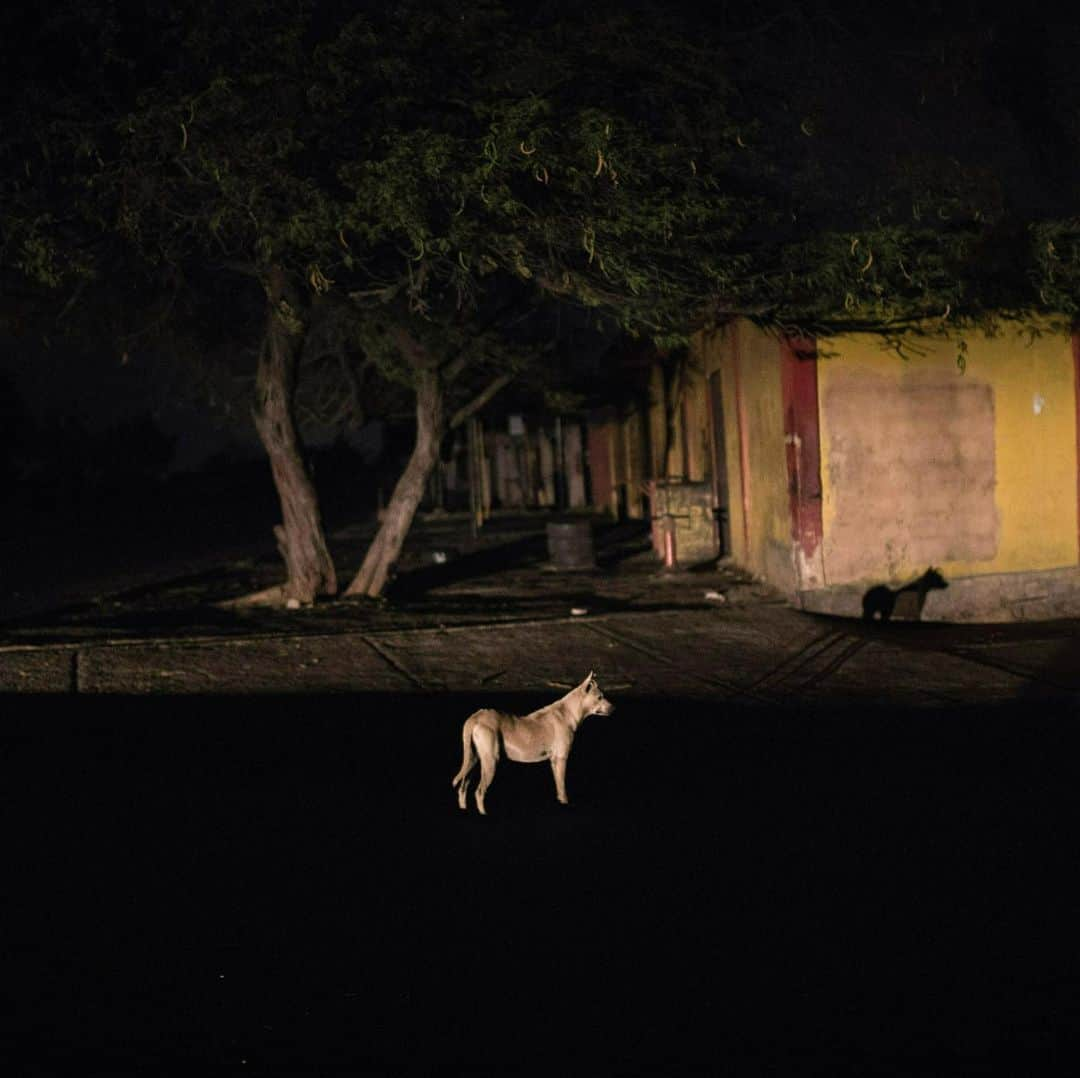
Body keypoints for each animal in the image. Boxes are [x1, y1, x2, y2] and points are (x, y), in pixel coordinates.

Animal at [449, 669, 617, 812]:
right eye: (600, 697)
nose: (614, 708)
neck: (569, 712)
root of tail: (476, 716)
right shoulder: (561, 759)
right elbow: (563, 789)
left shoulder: (554, 761)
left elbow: (559, 789)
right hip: (491, 761)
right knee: (479, 792)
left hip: (473, 760)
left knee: (463, 788)